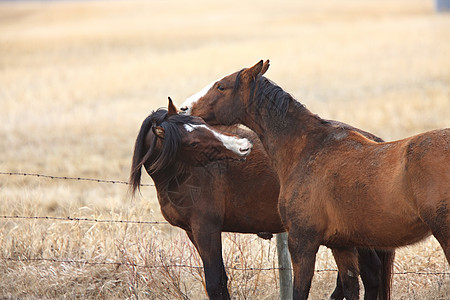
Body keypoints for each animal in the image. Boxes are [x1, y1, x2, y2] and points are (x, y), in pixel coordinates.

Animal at [131, 98, 394, 298]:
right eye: (193, 141)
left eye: (205, 124)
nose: (243, 147)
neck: (181, 174)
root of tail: (372, 141)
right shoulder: (192, 231)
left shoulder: (206, 228)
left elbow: (216, 281)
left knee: (369, 273)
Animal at [181, 59, 448, 298]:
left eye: (221, 87)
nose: (185, 109)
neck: (308, 148)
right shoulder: (342, 245)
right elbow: (350, 288)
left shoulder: (302, 243)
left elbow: (300, 291)